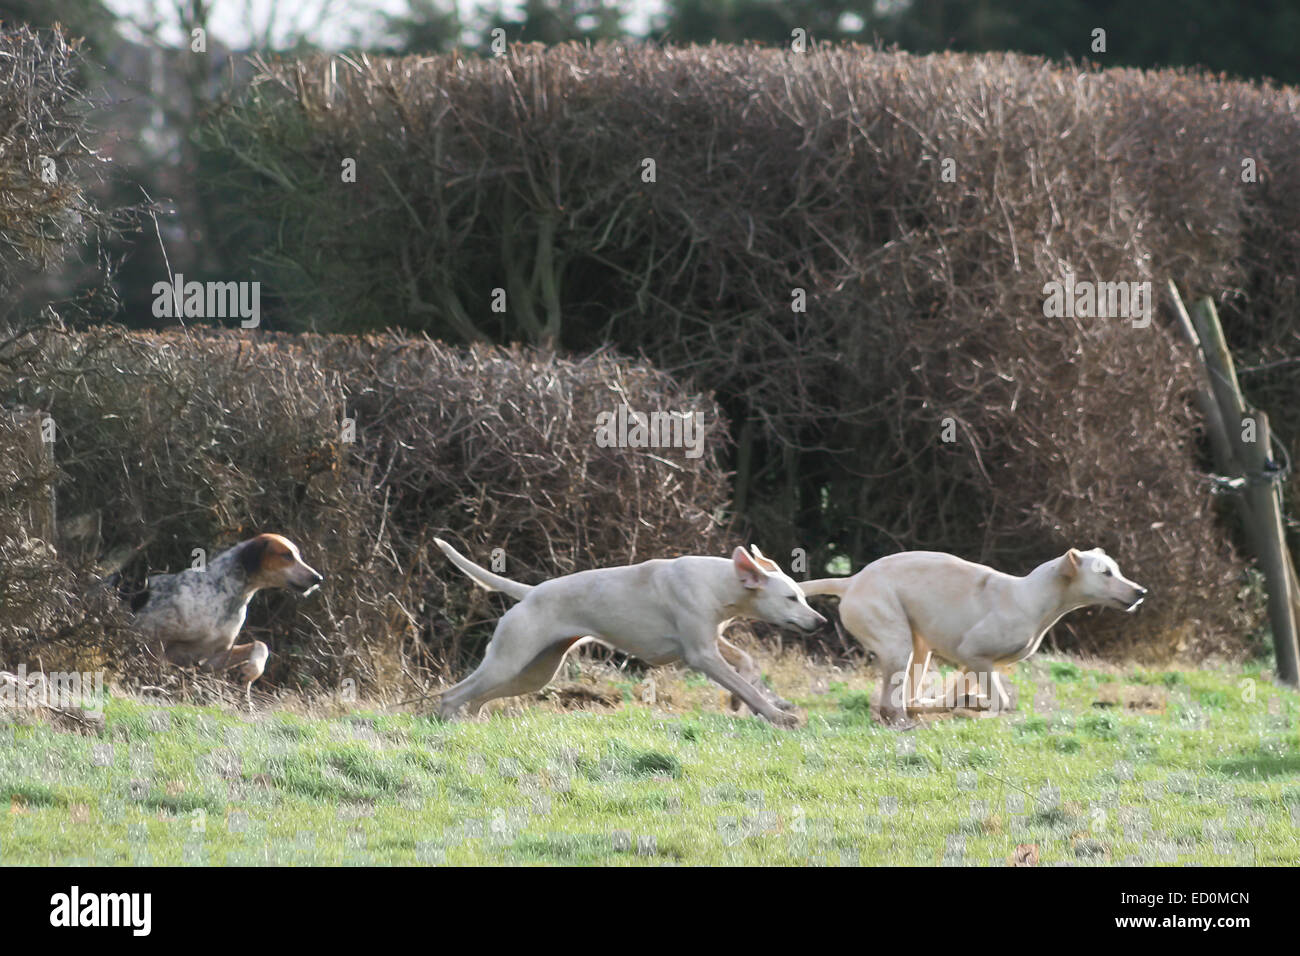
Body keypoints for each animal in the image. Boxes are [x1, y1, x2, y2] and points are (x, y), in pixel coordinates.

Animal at [130, 535, 323, 697]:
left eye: (298, 555)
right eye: (286, 555)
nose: (318, 578)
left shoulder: (210, 657)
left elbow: (261, 645)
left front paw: (251, 671)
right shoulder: (154, 641)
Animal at [800, 546, 1149, 723]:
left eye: (1116, 569)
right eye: (1106, 573)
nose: (1141, 591)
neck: (1032, 597)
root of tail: (851, 580)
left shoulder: (972, 663)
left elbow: (960, 690)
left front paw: (961, 700)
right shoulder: (975, 654)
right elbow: (1002, 701)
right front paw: (976, 704)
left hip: (919, 649)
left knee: (907, 698)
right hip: (899, 645)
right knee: (893, 704)